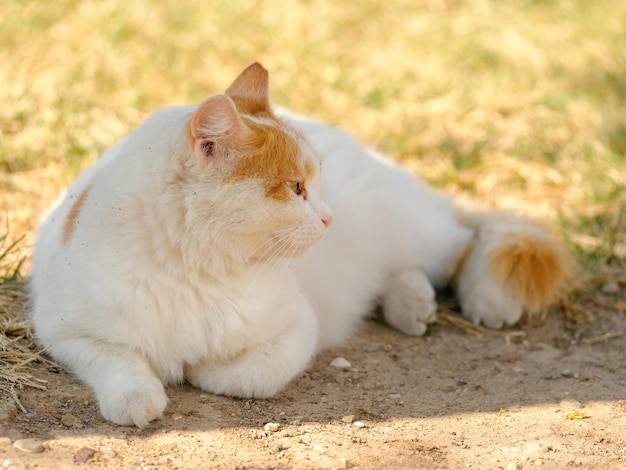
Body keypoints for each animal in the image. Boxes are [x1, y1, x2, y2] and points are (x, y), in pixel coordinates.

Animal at [30, 64, 572, 428]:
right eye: (295, 188)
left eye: (314, 185)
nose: (330, 217)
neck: (196, 269)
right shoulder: (64, 331)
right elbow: (119, 367)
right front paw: (141, 396)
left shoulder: (298, 327)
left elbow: (250, 374)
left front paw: (201, 369)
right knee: (405, 267)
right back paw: (410, 306)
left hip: (412, 228)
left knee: (462, 242)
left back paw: (481, 299)